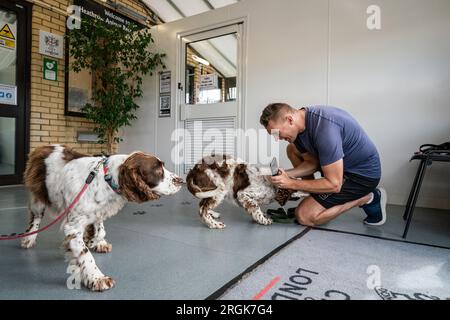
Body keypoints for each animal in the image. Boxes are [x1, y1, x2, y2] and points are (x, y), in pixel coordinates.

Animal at [20, 144, 183, 292]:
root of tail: (41, 148)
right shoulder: (73, 226)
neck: (107, 178)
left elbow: (100, 230)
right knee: (35, 218)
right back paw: (29, 238)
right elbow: (85, 253)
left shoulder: (98, 211)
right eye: (157, 170)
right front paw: (97, 278)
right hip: (38, 198)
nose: (181, 180)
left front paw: (95, 242)